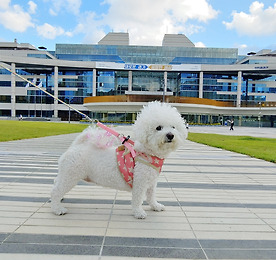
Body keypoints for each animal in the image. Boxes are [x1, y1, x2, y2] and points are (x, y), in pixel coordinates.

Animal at [50, 100, 187, 218]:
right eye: (158, 127)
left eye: (173, 127)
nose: (170, 135)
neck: (148, 153)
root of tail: (75, 146)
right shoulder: (140, 182)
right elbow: (138, 199)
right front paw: (138, 212)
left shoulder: (151, 182)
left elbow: (151, 196)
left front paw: (155, 206)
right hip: (70, 175)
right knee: (56, 190)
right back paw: (57, 208)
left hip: (66, 174)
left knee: (56, 183)